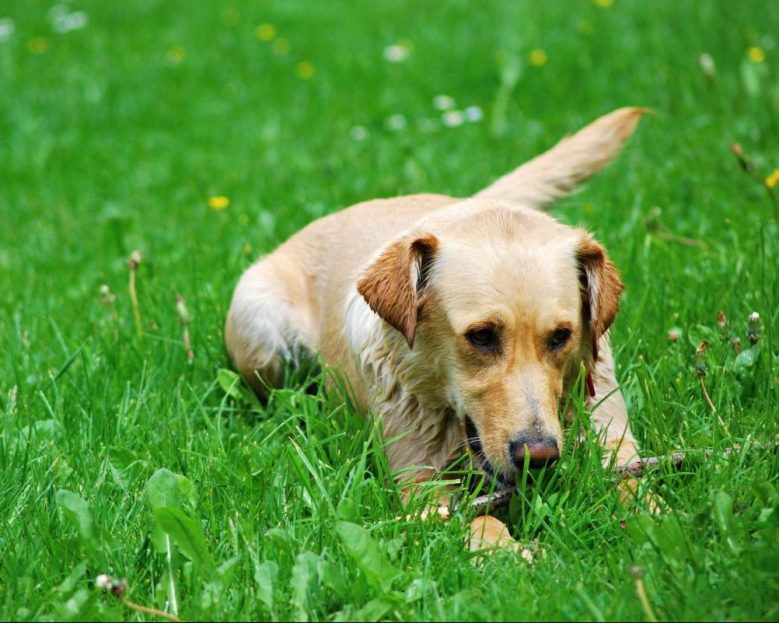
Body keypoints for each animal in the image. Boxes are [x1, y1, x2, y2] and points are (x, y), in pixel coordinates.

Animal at [226, 108, 648, 551]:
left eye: (560, 336)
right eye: (482, 336)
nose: (539, 457)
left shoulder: (616, 442)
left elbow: (638, 490)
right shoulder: (422, 487)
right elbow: (478, 520)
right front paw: (509, 550)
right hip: (260, 331)